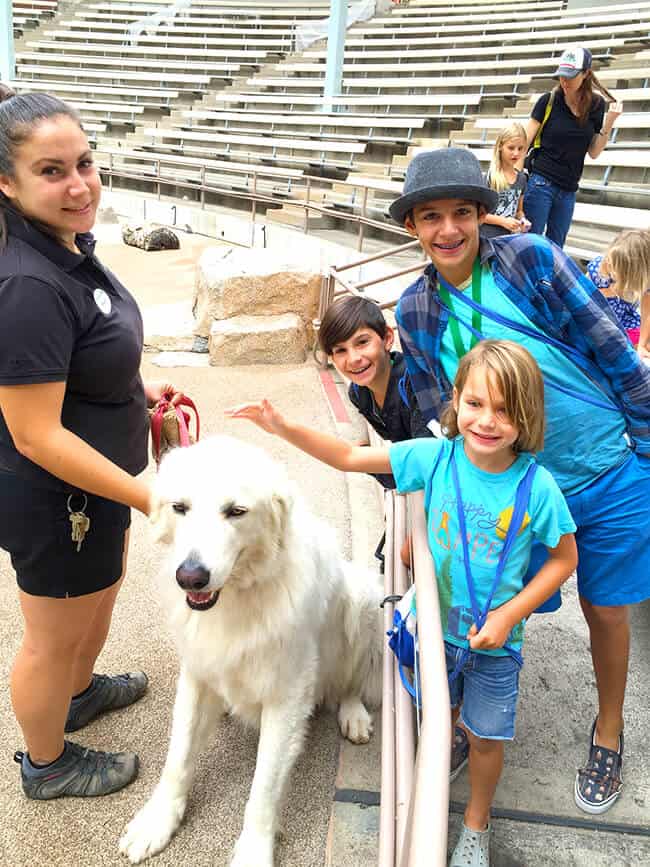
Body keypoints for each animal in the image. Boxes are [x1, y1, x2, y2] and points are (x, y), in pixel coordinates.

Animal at [119, 438, 382, 864]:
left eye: (236, 512)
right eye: (180, 507)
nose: (190, 577)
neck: (237, 596)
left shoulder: (286, 697)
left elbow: (263, 787)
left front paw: (255, 849)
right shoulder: (196, 673)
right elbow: (178, 756)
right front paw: (157, 821)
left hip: (363, 600)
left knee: (350, 680)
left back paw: (353, 713)